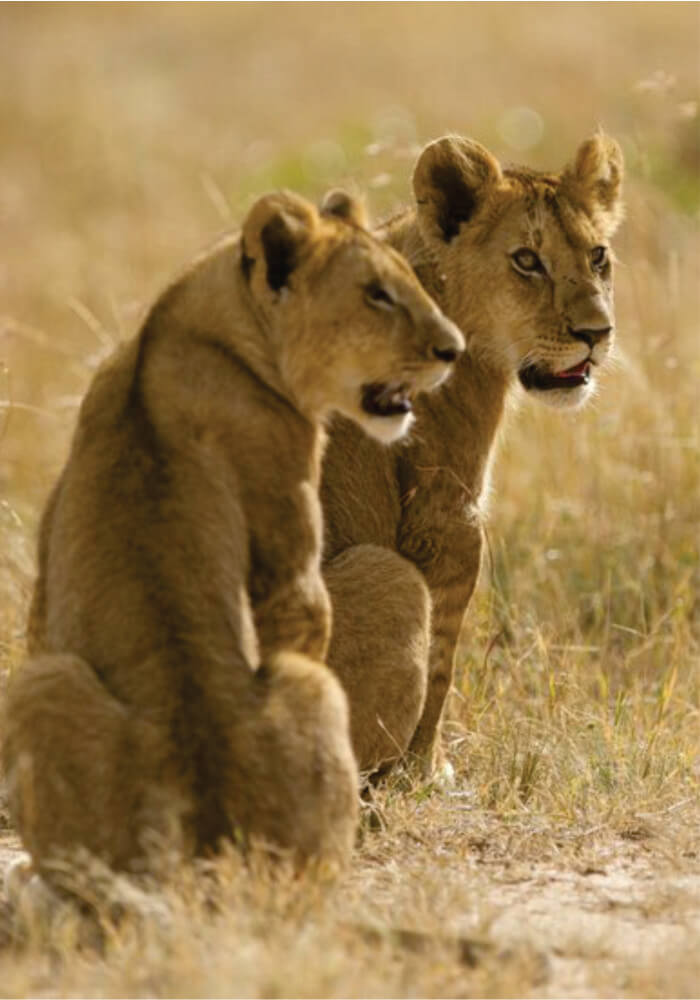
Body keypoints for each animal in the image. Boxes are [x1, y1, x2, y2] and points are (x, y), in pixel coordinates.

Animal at [5, 186, 468, 884]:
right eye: (377, 294)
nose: (454, 349)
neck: (190, 323)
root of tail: (203, 827)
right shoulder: (287, 526)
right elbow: (299, 606)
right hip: (310, 685)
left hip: (41, 682)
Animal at [320, 131, 628, 772]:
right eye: (527, 260)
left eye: (598, 256)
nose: (597, 333)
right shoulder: (446, 517)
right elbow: (441, 661)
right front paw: (427, 771)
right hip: (385, 573)